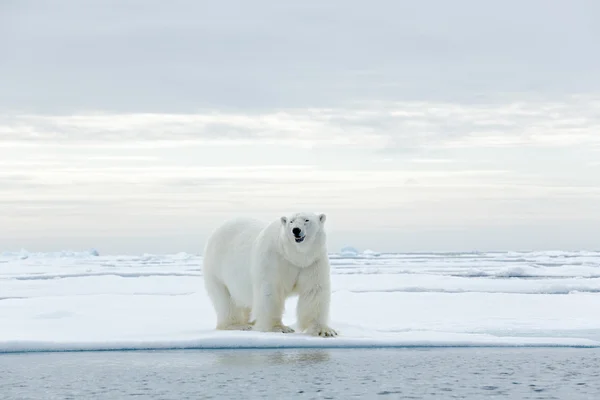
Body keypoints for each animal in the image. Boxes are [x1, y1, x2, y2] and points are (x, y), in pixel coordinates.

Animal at [203, 212, 338, 338]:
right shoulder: (273, 259)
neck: (293, 256)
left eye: (306, 220)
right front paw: (278, 328)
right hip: (217, 270)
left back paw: (250, 322)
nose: (296, 230)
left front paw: (325, 331)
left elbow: (314, 291)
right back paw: (237, 325)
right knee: (226, 300)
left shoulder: (312, 262)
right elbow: (270, 291)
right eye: (291, 221)